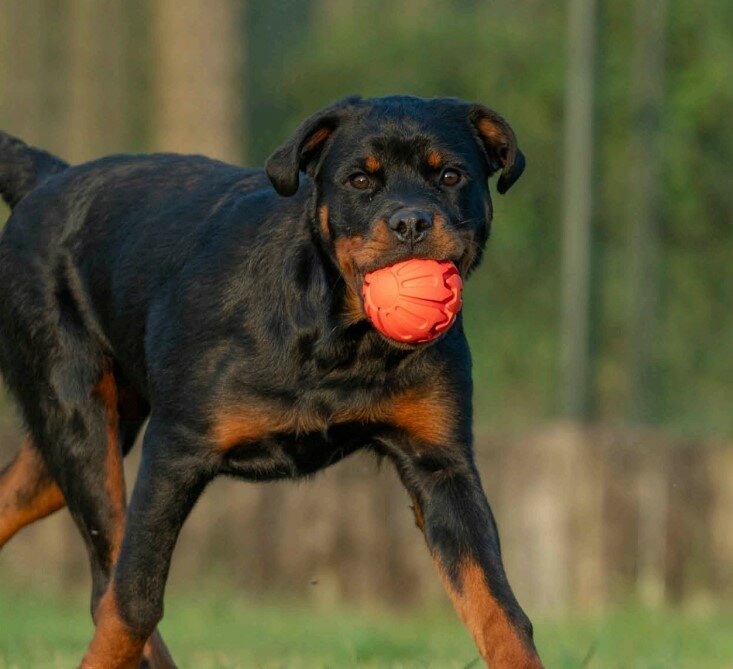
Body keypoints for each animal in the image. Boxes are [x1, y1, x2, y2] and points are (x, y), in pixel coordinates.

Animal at [0, 95, 540, 668]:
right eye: (359, 181)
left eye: (451, 175)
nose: (411, 220)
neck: (340, 337)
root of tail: (49, 177)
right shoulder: (174, 451)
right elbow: (132, 602)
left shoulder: (441, 465)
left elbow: (500, 611)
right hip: (77, 422)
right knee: (106, 579)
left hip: (85, 435)